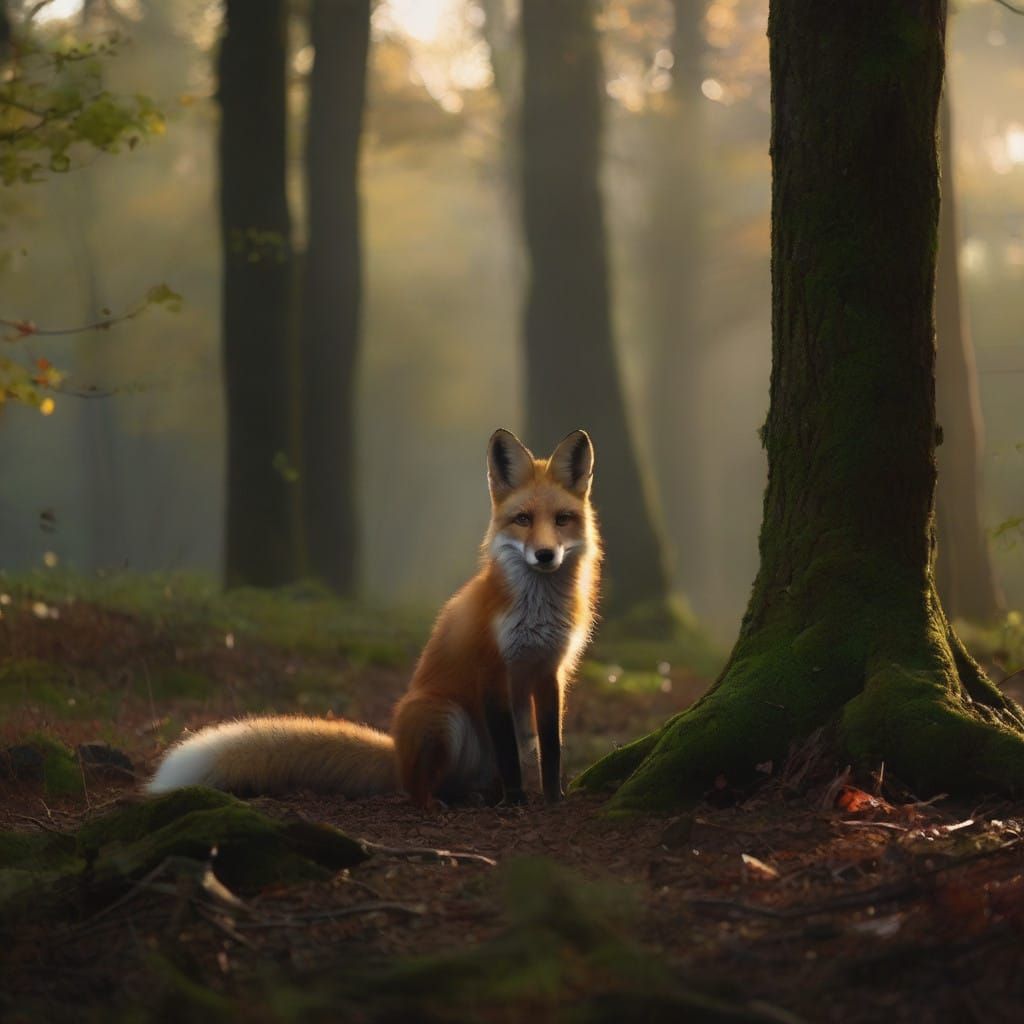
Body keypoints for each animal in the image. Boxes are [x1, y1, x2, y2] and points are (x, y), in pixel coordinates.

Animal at [147, 428, 602, 806]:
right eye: (523, 519)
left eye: (561, 520)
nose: (545, 555)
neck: (537, 610)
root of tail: (395, 753)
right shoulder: (492, 671)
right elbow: (507, 755)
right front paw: (516, 802)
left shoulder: (549, 672)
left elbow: (554, 747)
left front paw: (553, 799)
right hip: (443, 716)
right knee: (419, 788)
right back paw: (443, 802)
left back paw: (480, 796)